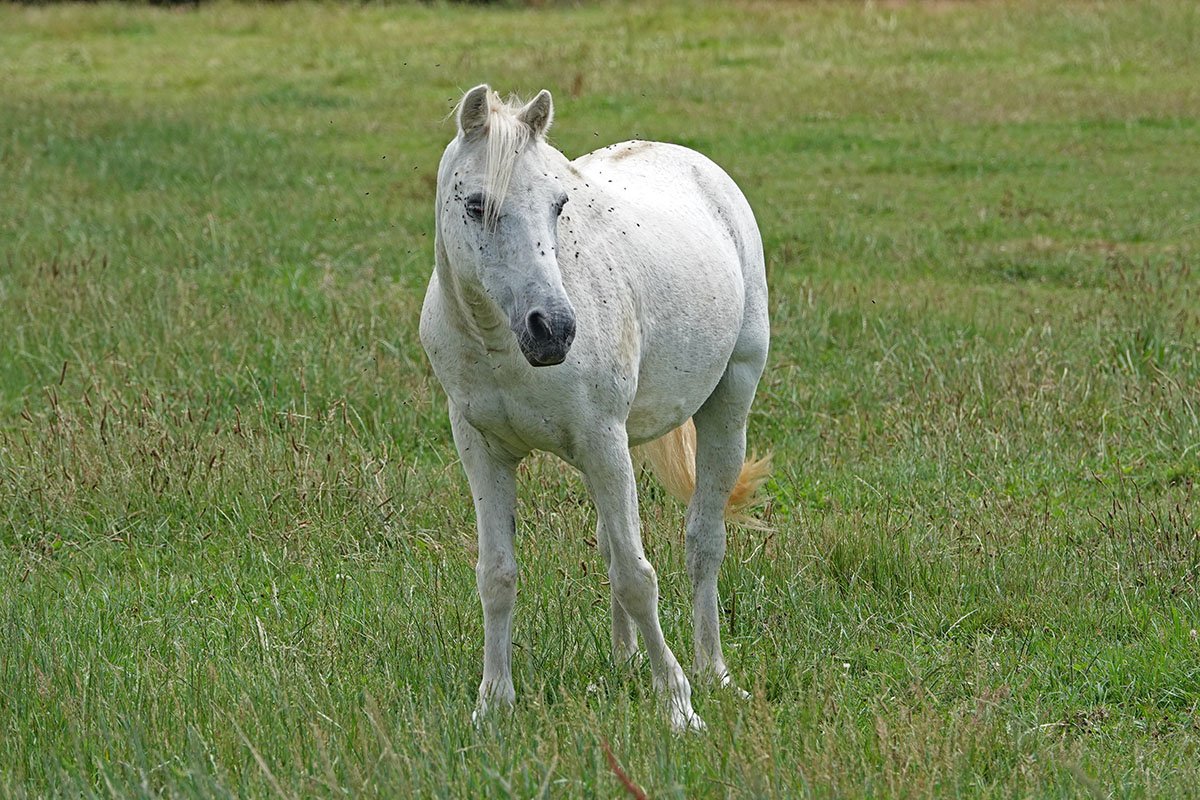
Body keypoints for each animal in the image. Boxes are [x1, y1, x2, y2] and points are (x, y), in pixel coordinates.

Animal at [419, 84, 770, 731]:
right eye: (476, 205)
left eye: (559, 204)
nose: (554, 329)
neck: (499, 345)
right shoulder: (483, 450)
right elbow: (497, 575)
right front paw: (493, 703)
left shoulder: (601, 440)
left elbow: (638, 576)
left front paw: (678, 704)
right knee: (612, 544)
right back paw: (624, 661)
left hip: (727, 404)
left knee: (703, 542)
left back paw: (713, 670)